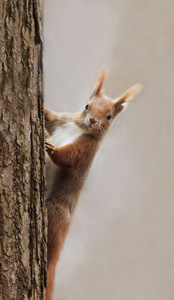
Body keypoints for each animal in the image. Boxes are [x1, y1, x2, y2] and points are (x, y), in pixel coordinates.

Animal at [44, 71, 142, 300]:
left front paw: (51, 149)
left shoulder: (85, 151)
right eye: (87, 105)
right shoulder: (60, 121)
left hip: (57, 209)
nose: (92, 120)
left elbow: (69, 158)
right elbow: (49, 117)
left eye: (109, 116)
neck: (76, 128)